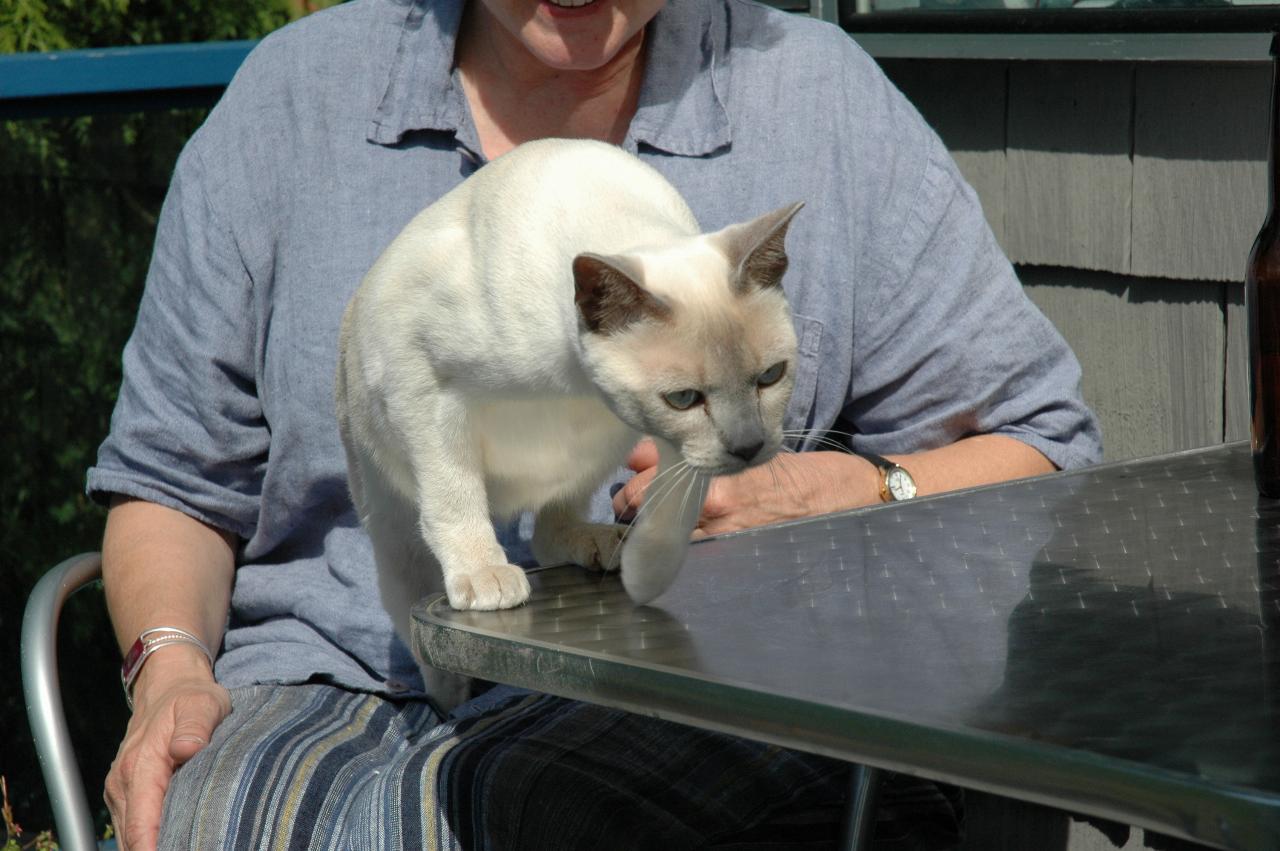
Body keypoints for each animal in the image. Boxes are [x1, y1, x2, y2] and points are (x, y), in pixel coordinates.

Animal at [340, 136, 798, 696]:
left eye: (770, 376)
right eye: (685, 398)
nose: (749, 448)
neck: (571, 382)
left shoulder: (676, 446)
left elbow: (675, 514)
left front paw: (644, 579)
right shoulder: (424, 385)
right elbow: (455, 497)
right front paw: (485, 577)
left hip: (600, 447)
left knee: (550, 532)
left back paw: (605, 546)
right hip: (392, 516)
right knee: (421, 619)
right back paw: (451, 694)